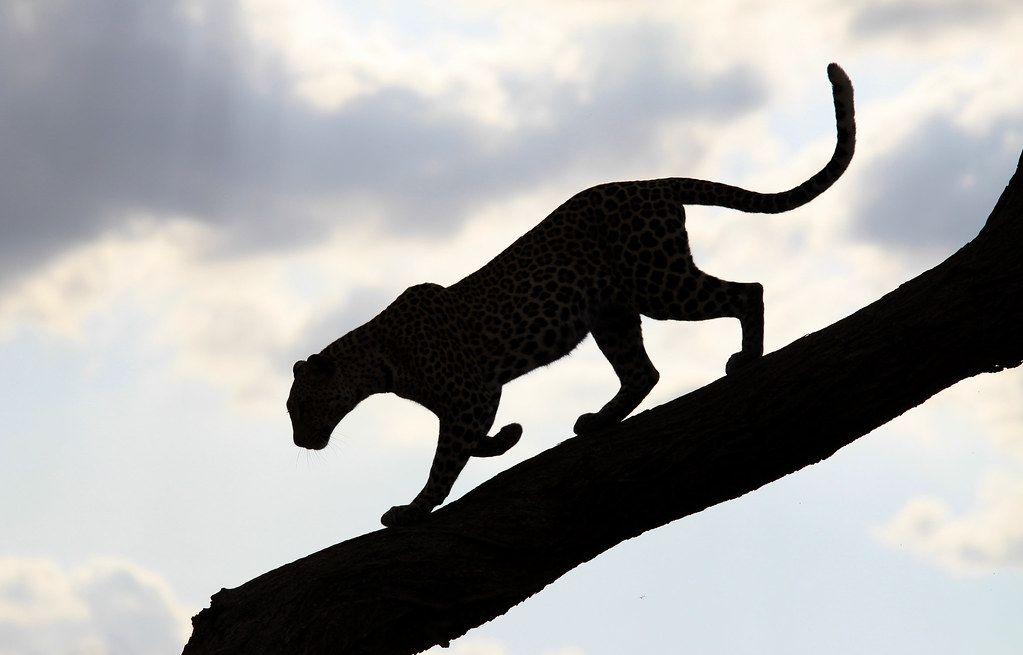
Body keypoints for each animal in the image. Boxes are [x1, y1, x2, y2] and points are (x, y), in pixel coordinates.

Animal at [288, 63, 855, 528]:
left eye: (298, 405)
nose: (297, 440)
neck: (377, 364)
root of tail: (652, 182)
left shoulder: (467, 396)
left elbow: (445, 461)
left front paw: (412, 510)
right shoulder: (480, 394)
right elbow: (474, 442)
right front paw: (508, 437)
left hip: (661, 283)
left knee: (747, 292)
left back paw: (747, 359)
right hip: (613, 314)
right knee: (643, 372)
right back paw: (601, 419)